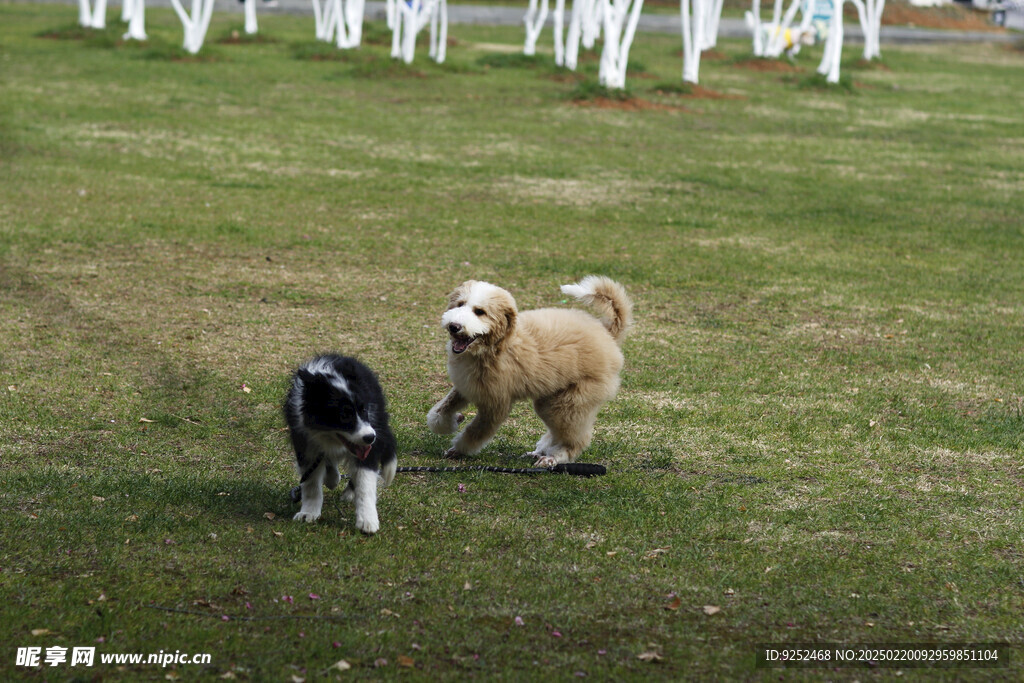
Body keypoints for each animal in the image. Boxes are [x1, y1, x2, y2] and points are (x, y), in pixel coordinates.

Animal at [284, 356, 395, 536]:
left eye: (364, 410)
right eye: (344, 415)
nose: (371, 437)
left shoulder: (368, 447)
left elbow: (365, 483)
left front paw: (367, 521)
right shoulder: (306, 443)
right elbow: (311, 483)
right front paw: (308, 513)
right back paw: (332, 478)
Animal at [423, 274, 630, 466]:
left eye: (480, 312)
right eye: (460, 304)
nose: (454, 326)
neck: (495, 348)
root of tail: (607, 334)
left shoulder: (496, 405)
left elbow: (475, 432)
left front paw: (458, 450)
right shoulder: (465, 386)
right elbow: (439, 412)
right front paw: (452, 421)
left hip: (571, 403)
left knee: (577, 439)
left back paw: (552, 458)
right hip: (551, 401)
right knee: (557, 433)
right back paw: (540, 451)